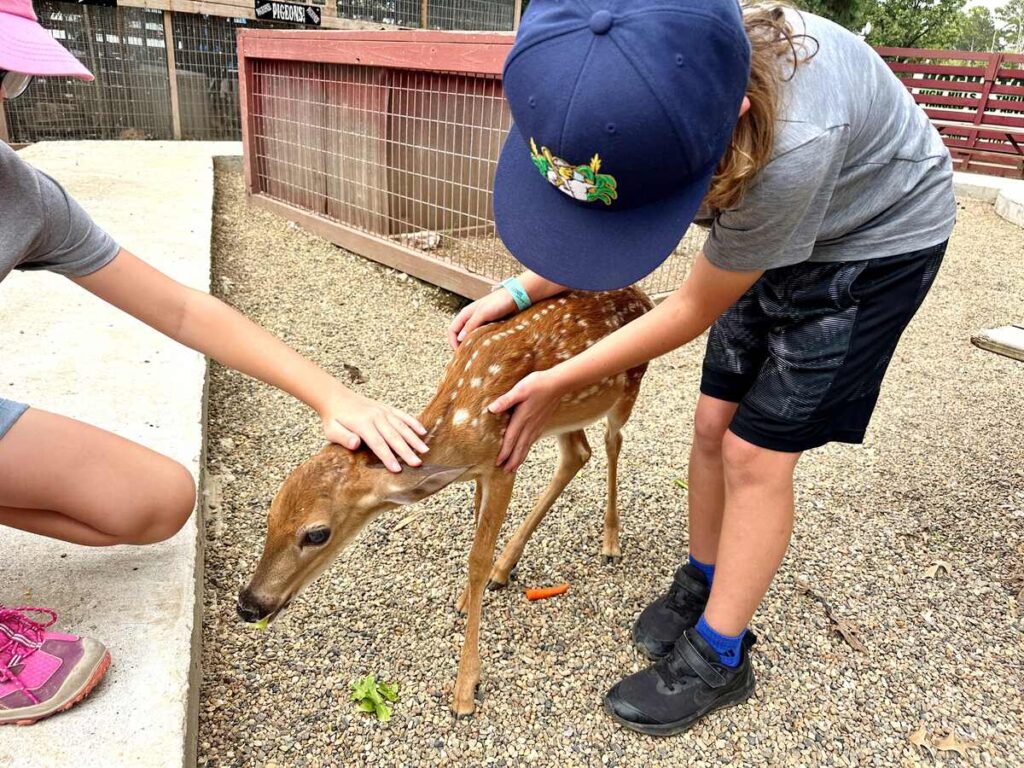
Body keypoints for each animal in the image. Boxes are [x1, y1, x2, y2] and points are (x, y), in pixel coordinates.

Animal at [236, 286, 653, 716]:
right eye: (270, 512)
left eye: (317, 533)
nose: (249, 605)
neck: (462, 423)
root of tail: (646, 297)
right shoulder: (488, 465)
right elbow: (476, 527)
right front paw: (468, 599)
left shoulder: (504, 461)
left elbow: (476, 559)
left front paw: (465, 689)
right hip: (561, 413)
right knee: (578, 453)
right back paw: (506, 567)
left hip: (627, 387)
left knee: (612, 441)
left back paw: (610, 542)